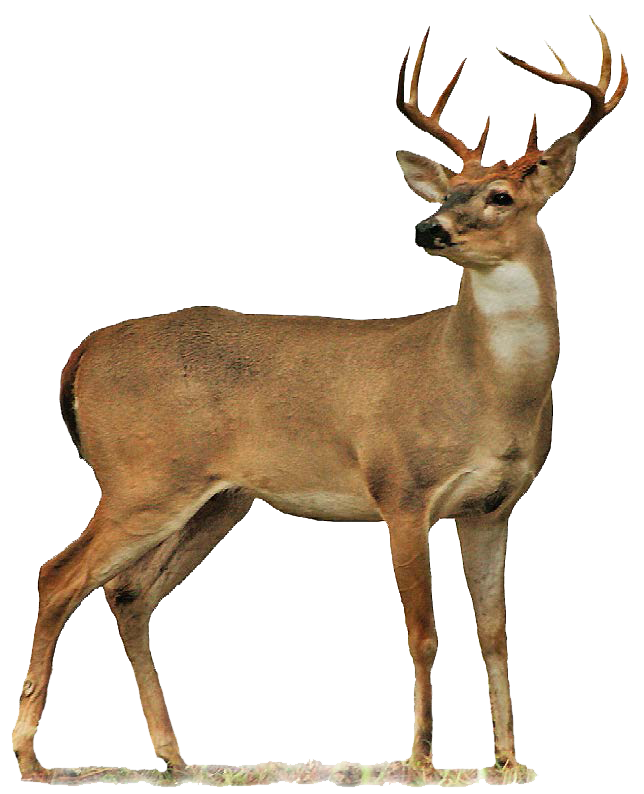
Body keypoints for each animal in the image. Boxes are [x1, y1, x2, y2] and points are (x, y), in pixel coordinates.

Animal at [13, 17, 627, 783]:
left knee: (127, 594)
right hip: (141, 476)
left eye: (500, 196)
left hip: (218, 499)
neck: (480, 386)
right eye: (444, 192)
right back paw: (33, 755)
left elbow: (496, 632)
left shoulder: (492, 506)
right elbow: (424, 633)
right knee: (57, 575)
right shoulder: (401, 490)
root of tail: (82, 351)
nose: (427, 230)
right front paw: (420, 757)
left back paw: (174, 755)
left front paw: (509, 758)